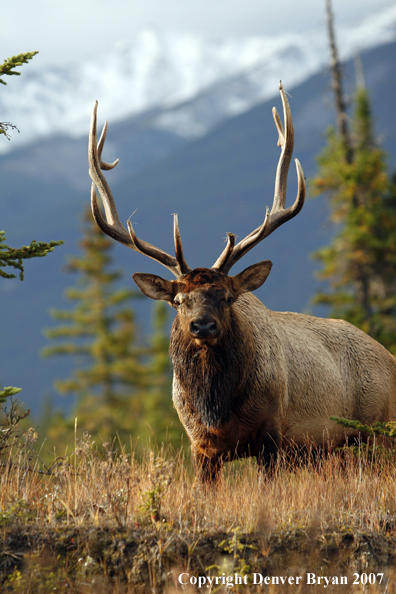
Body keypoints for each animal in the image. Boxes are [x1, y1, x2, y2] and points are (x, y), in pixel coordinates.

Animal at [88, 82, 396, 480]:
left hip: (377, 430)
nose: (203, 325)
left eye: (227, 297)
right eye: (178, 301)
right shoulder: (200, 447)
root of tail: (389, 356)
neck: (216, 411)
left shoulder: (272, 433)